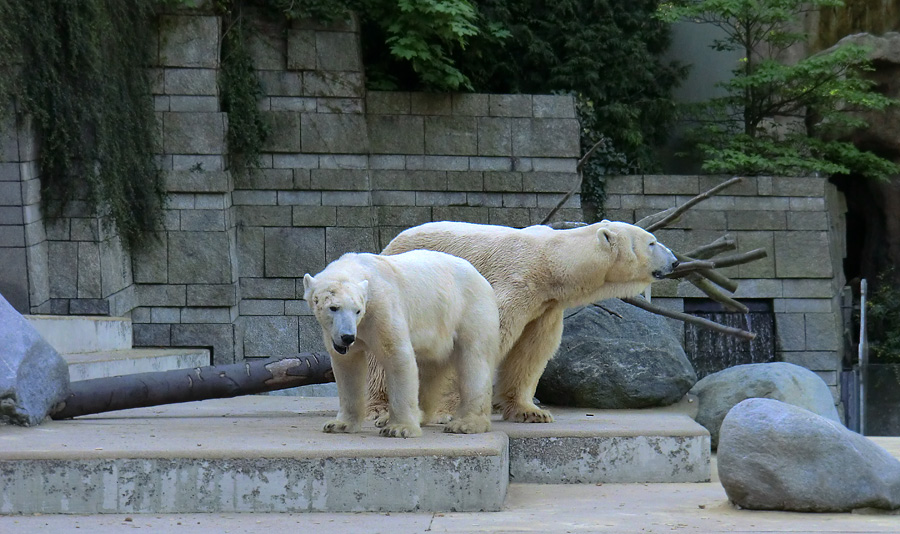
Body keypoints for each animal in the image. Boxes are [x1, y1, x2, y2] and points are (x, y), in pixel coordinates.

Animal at [304, 251, 502, 440]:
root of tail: (481, 278)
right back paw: (409, 416)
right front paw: (339, 424)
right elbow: (348, 367)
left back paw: (466, 424)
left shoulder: (382, 308)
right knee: (428, 369)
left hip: (471, 310)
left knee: (474, 361)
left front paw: (399, 428)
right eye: (333, 308)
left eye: (357, 310)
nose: (347, 337)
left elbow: (397, 356)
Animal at [370, 220, 680, 426]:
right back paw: (381, 407)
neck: (549, 262)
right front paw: (448, 412)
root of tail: (391, 242)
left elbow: (531, 350)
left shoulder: (545, 307)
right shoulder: (512, 283)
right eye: (652, 242)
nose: (676, 261)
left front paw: (530, 411)